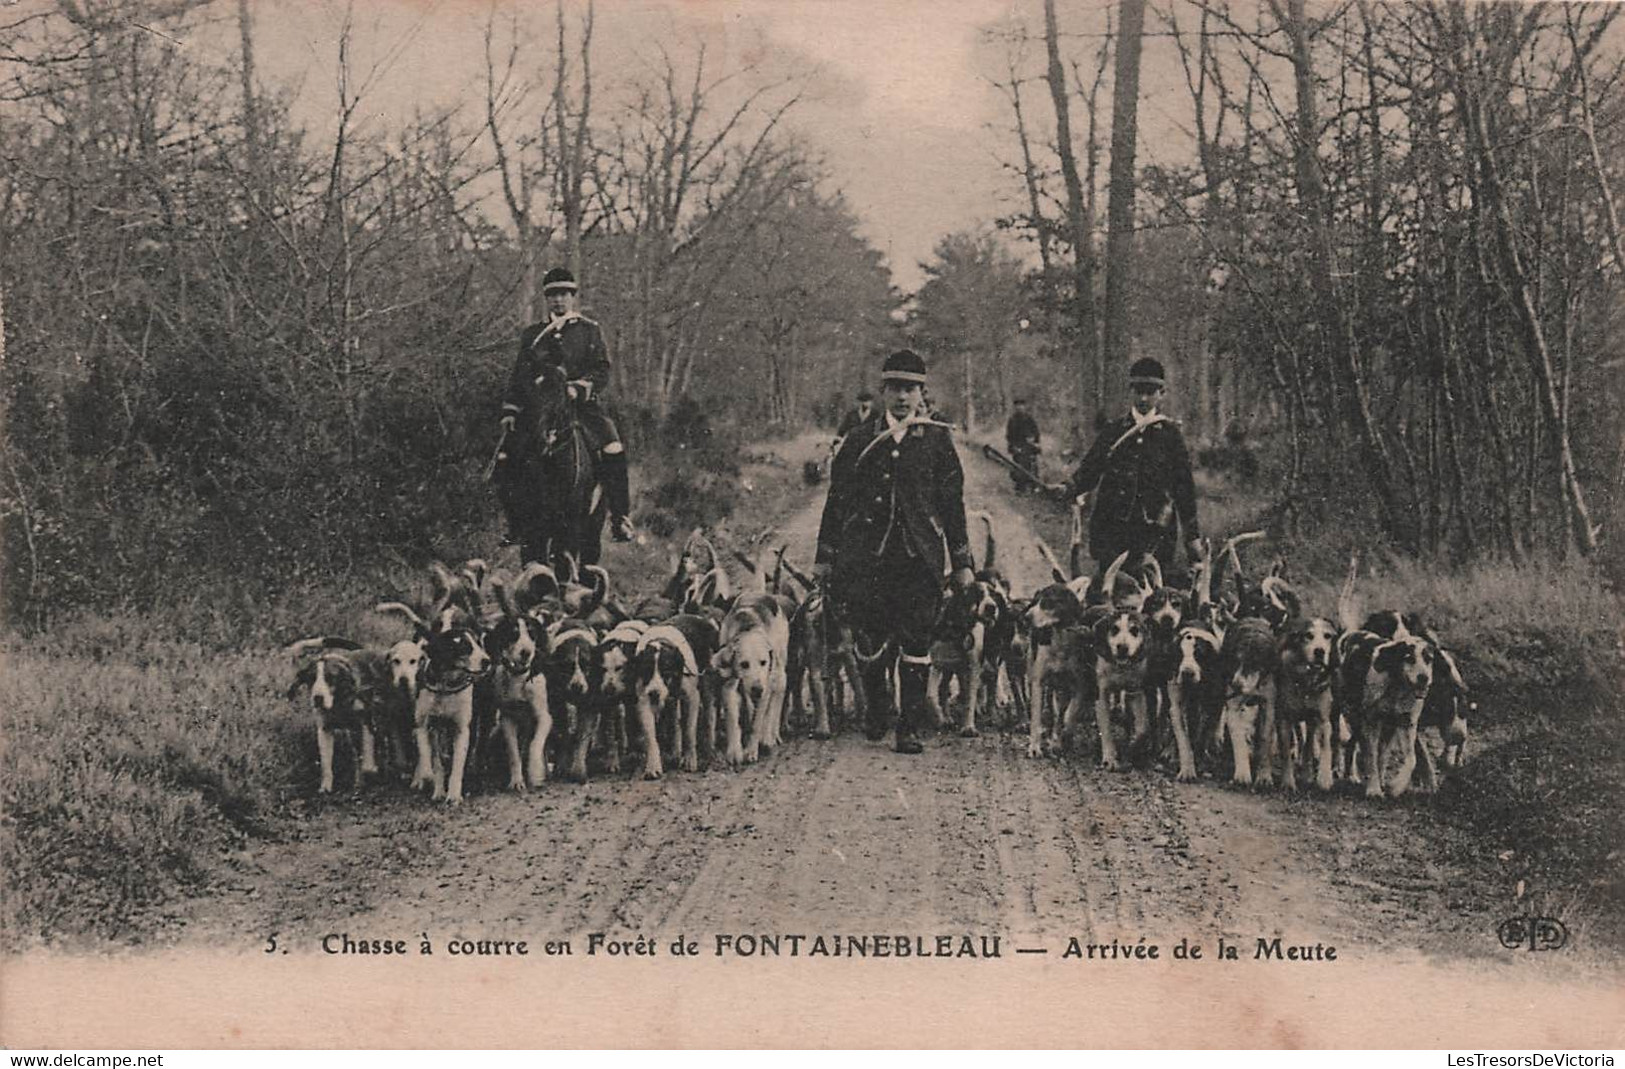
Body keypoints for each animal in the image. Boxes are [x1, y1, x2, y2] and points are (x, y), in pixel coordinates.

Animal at [494, 360, 611, 575]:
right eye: (532, 392)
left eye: (560, 395)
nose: (543, 436)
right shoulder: (533, 527)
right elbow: (535, 564)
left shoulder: (569, 527)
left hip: (593, 521)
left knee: (589, 555)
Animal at [627, 610, 718, 779]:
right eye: (646, 671)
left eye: (666, 671)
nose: (654, 693)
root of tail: (701, 618)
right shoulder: (643, 700)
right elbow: (650, 736)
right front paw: (653, 766)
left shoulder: (692, 697)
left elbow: (689, 731)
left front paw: (689, 759)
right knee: (674, 719)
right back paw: (675, 752)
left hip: (707, 678)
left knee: (709, 713)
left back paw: (709, 747)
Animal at [711, 591, 793, 766]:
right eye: (744, 664)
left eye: (763, 662)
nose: (757, 689)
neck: (748, 628)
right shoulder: (729, 685)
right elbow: (732, 719)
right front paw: (734, 752)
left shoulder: (766, 688)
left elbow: (758, 722)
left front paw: (751, 751)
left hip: (779, 676)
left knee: (774, 706)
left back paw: (771, 736)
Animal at [1274, 610, 1339, 786]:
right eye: (1308, 635)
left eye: (1328, 636)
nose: (1319, 651)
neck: (1306, 681)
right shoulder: (1284, 719)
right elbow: (1286, 751)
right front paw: (1288, 781)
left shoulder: (1322, 718)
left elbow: (1325, 747)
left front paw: (1324, 778)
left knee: (1309, 742)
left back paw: (1307, 773)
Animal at [1332, 627, 1436, 796]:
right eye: (1409, 658)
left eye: (1428, 659)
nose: (1424, 678)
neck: (1397, 686)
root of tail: (1351, 633)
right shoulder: (1372, 722)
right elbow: (1371, 756)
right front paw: (1374, 789)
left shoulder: (1406, 724)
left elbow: (1411, 759)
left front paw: (1396, 786)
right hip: (1345, 710)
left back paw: (1356, 776)